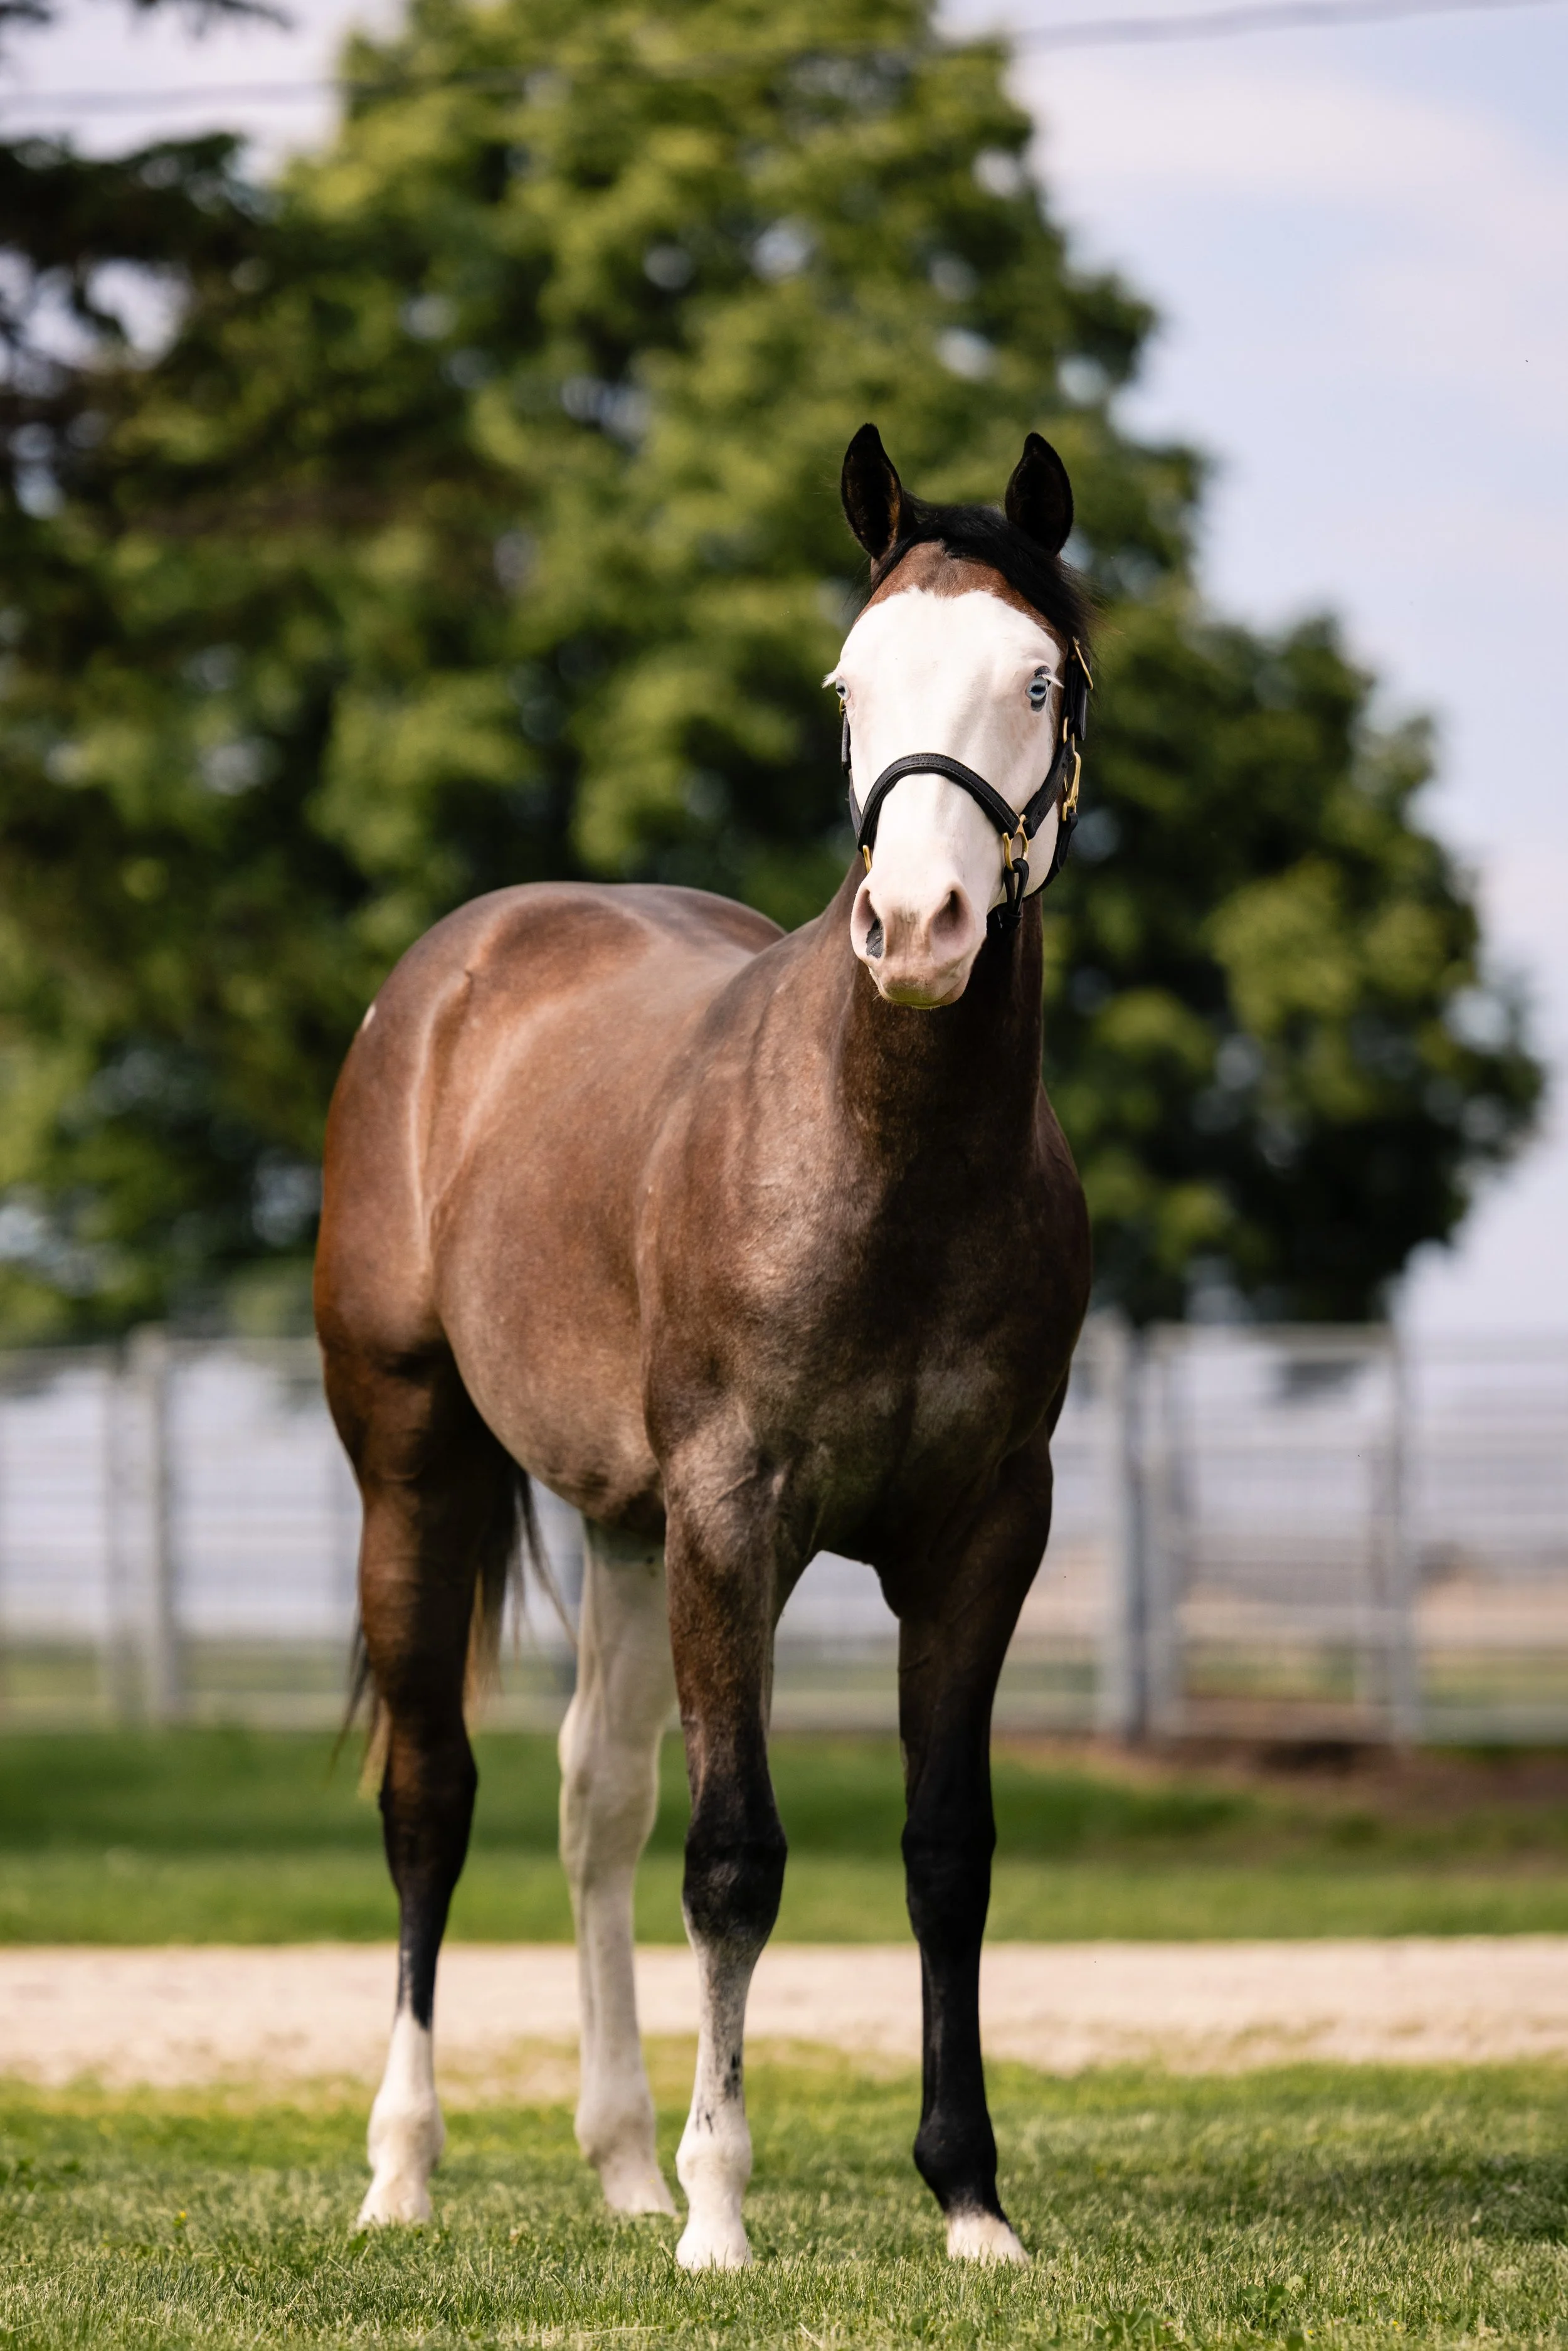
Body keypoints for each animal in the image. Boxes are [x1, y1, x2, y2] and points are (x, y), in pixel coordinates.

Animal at [314, 422, 1093, 2268]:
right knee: (431, 1794)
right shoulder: (735, 1520)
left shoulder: (983, 1534)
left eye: (1037, 676)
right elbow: (735, 1856)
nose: (921, 928)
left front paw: (969, 2198)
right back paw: (404, 2168)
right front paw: (723, 2209)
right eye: (849, 681)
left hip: (616, 1525)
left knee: (592, 1799)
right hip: (412, 1466)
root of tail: (451, 972)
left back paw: (614, 2162)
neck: (885, 1164)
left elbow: (946, 1848)